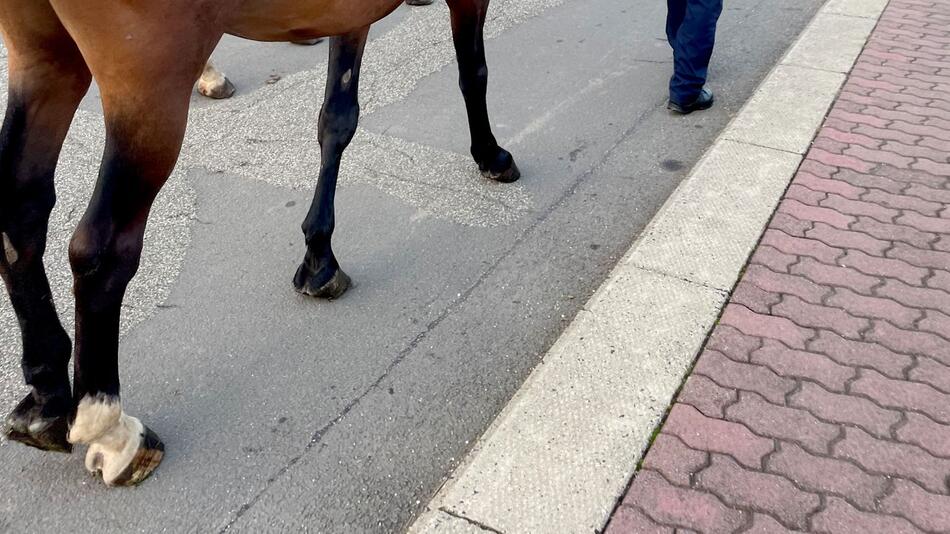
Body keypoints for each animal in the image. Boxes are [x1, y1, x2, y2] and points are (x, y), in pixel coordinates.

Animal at [0, 0, 520, 488]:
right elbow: (473, 70)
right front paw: (490, 154)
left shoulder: (349, 14)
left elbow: (338, 116)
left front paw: (319, 256)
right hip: (147, 85)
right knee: (103, 249)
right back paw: (112, 431)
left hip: (45, 56)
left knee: (20, 212)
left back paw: (47, 399)